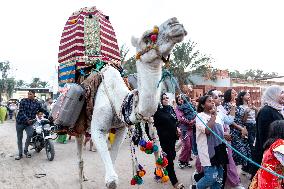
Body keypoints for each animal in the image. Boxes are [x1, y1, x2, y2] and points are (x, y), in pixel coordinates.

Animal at [75, 17, 186, 188]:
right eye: (148, 36)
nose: (175, 23)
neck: (119, 100)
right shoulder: (97, 129)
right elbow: (111, 181)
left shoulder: (121, 128)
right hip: (80, 127)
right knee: (80, 155)